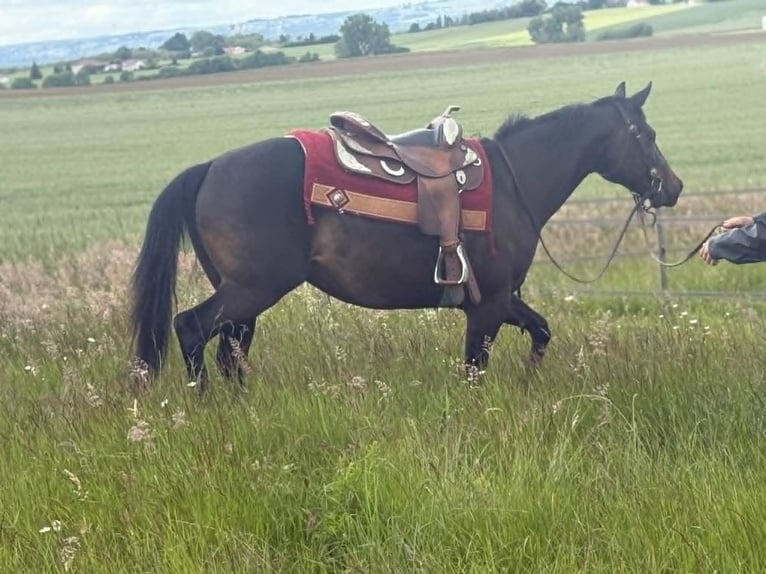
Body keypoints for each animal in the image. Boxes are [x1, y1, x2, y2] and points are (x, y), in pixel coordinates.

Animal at [130, 81, 684, 389]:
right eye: (648, 135)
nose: (673, 187)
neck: (514, 181)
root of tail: (207, 169)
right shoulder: (487, 306)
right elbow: (475, 371)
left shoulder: (503, 299)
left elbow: (542, 330)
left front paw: (530, 380)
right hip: (251, 289)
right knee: (192, 330)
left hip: (245, 296)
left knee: (230, 352)